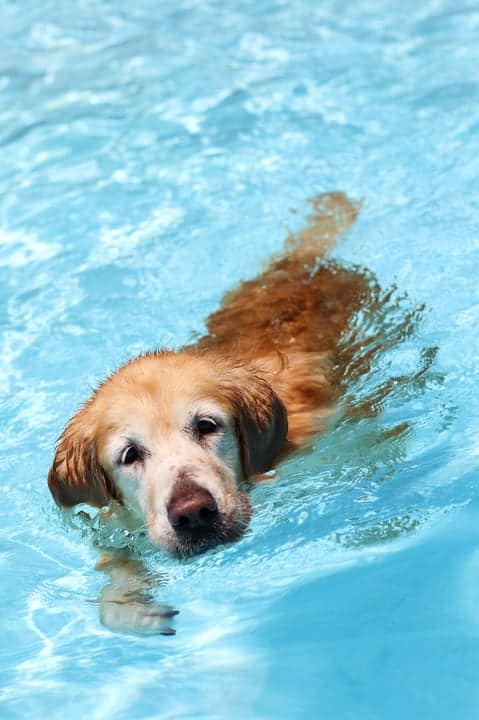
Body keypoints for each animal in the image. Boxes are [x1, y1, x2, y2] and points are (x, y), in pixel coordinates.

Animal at [47, 193, 374, 636]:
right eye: (130, 455)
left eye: (206, 425)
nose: (193, 513)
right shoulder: (111, 523)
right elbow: (112, 569)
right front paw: (130, 606)